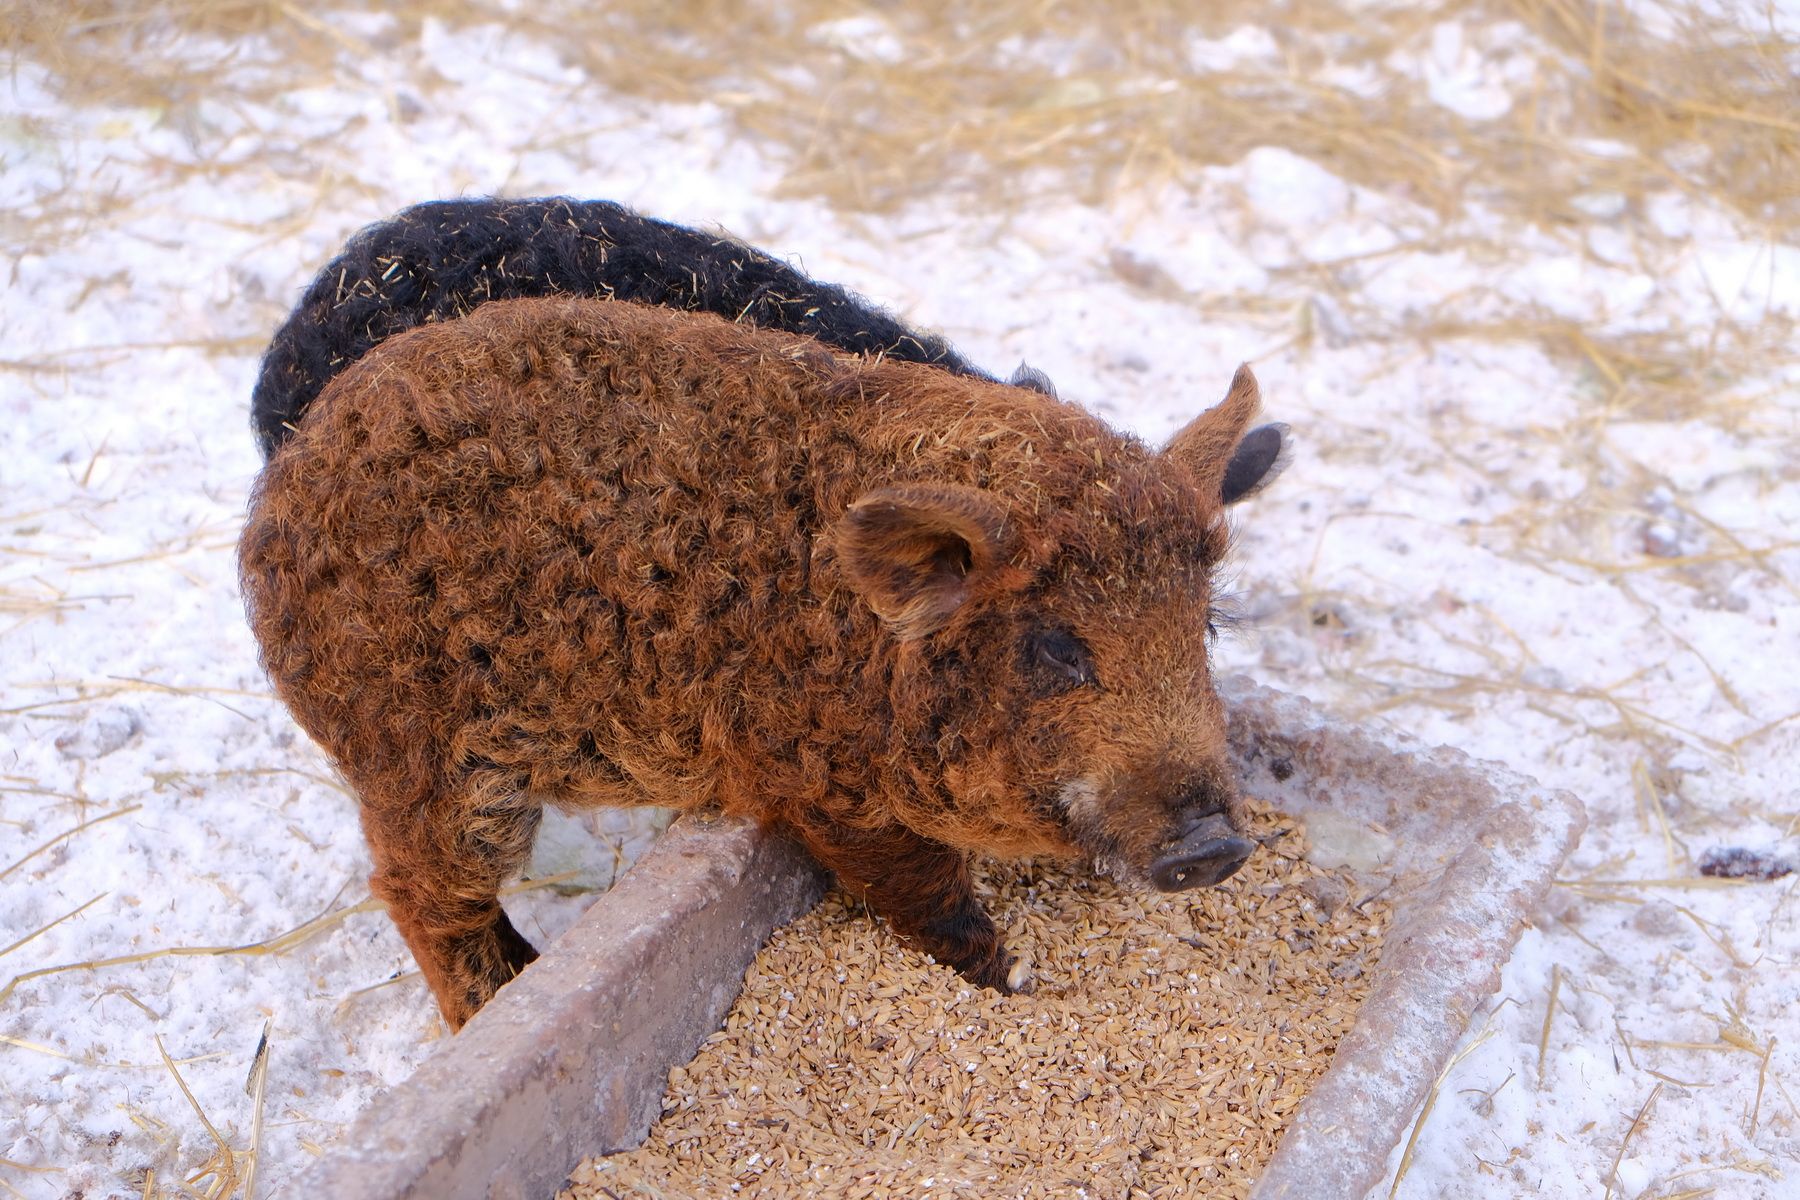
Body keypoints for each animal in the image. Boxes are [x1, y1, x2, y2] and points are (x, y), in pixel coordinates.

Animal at [239, 295, 1288, 1029]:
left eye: (1205, 626)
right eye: (1058, 647)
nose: (1215, 846)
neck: (868, 649)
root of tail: (285, 484)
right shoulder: (820, 784)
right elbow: (925, 892)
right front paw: (1013, 979)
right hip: (419, 751)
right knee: (420, 895)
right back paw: (498, 1005)